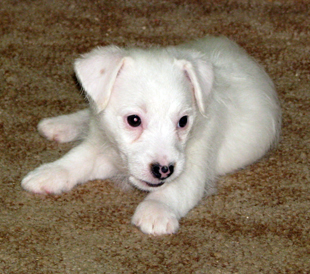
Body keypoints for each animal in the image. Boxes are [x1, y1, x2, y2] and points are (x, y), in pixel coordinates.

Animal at [20, 35, 280, 234]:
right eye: (134, 120)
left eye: (183, 121)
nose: (164, 170)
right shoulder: (101, 146)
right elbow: (75, 160)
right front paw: (50, 173)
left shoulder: (193, 166)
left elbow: (174, 189)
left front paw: (155, 211)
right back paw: (60, 124)